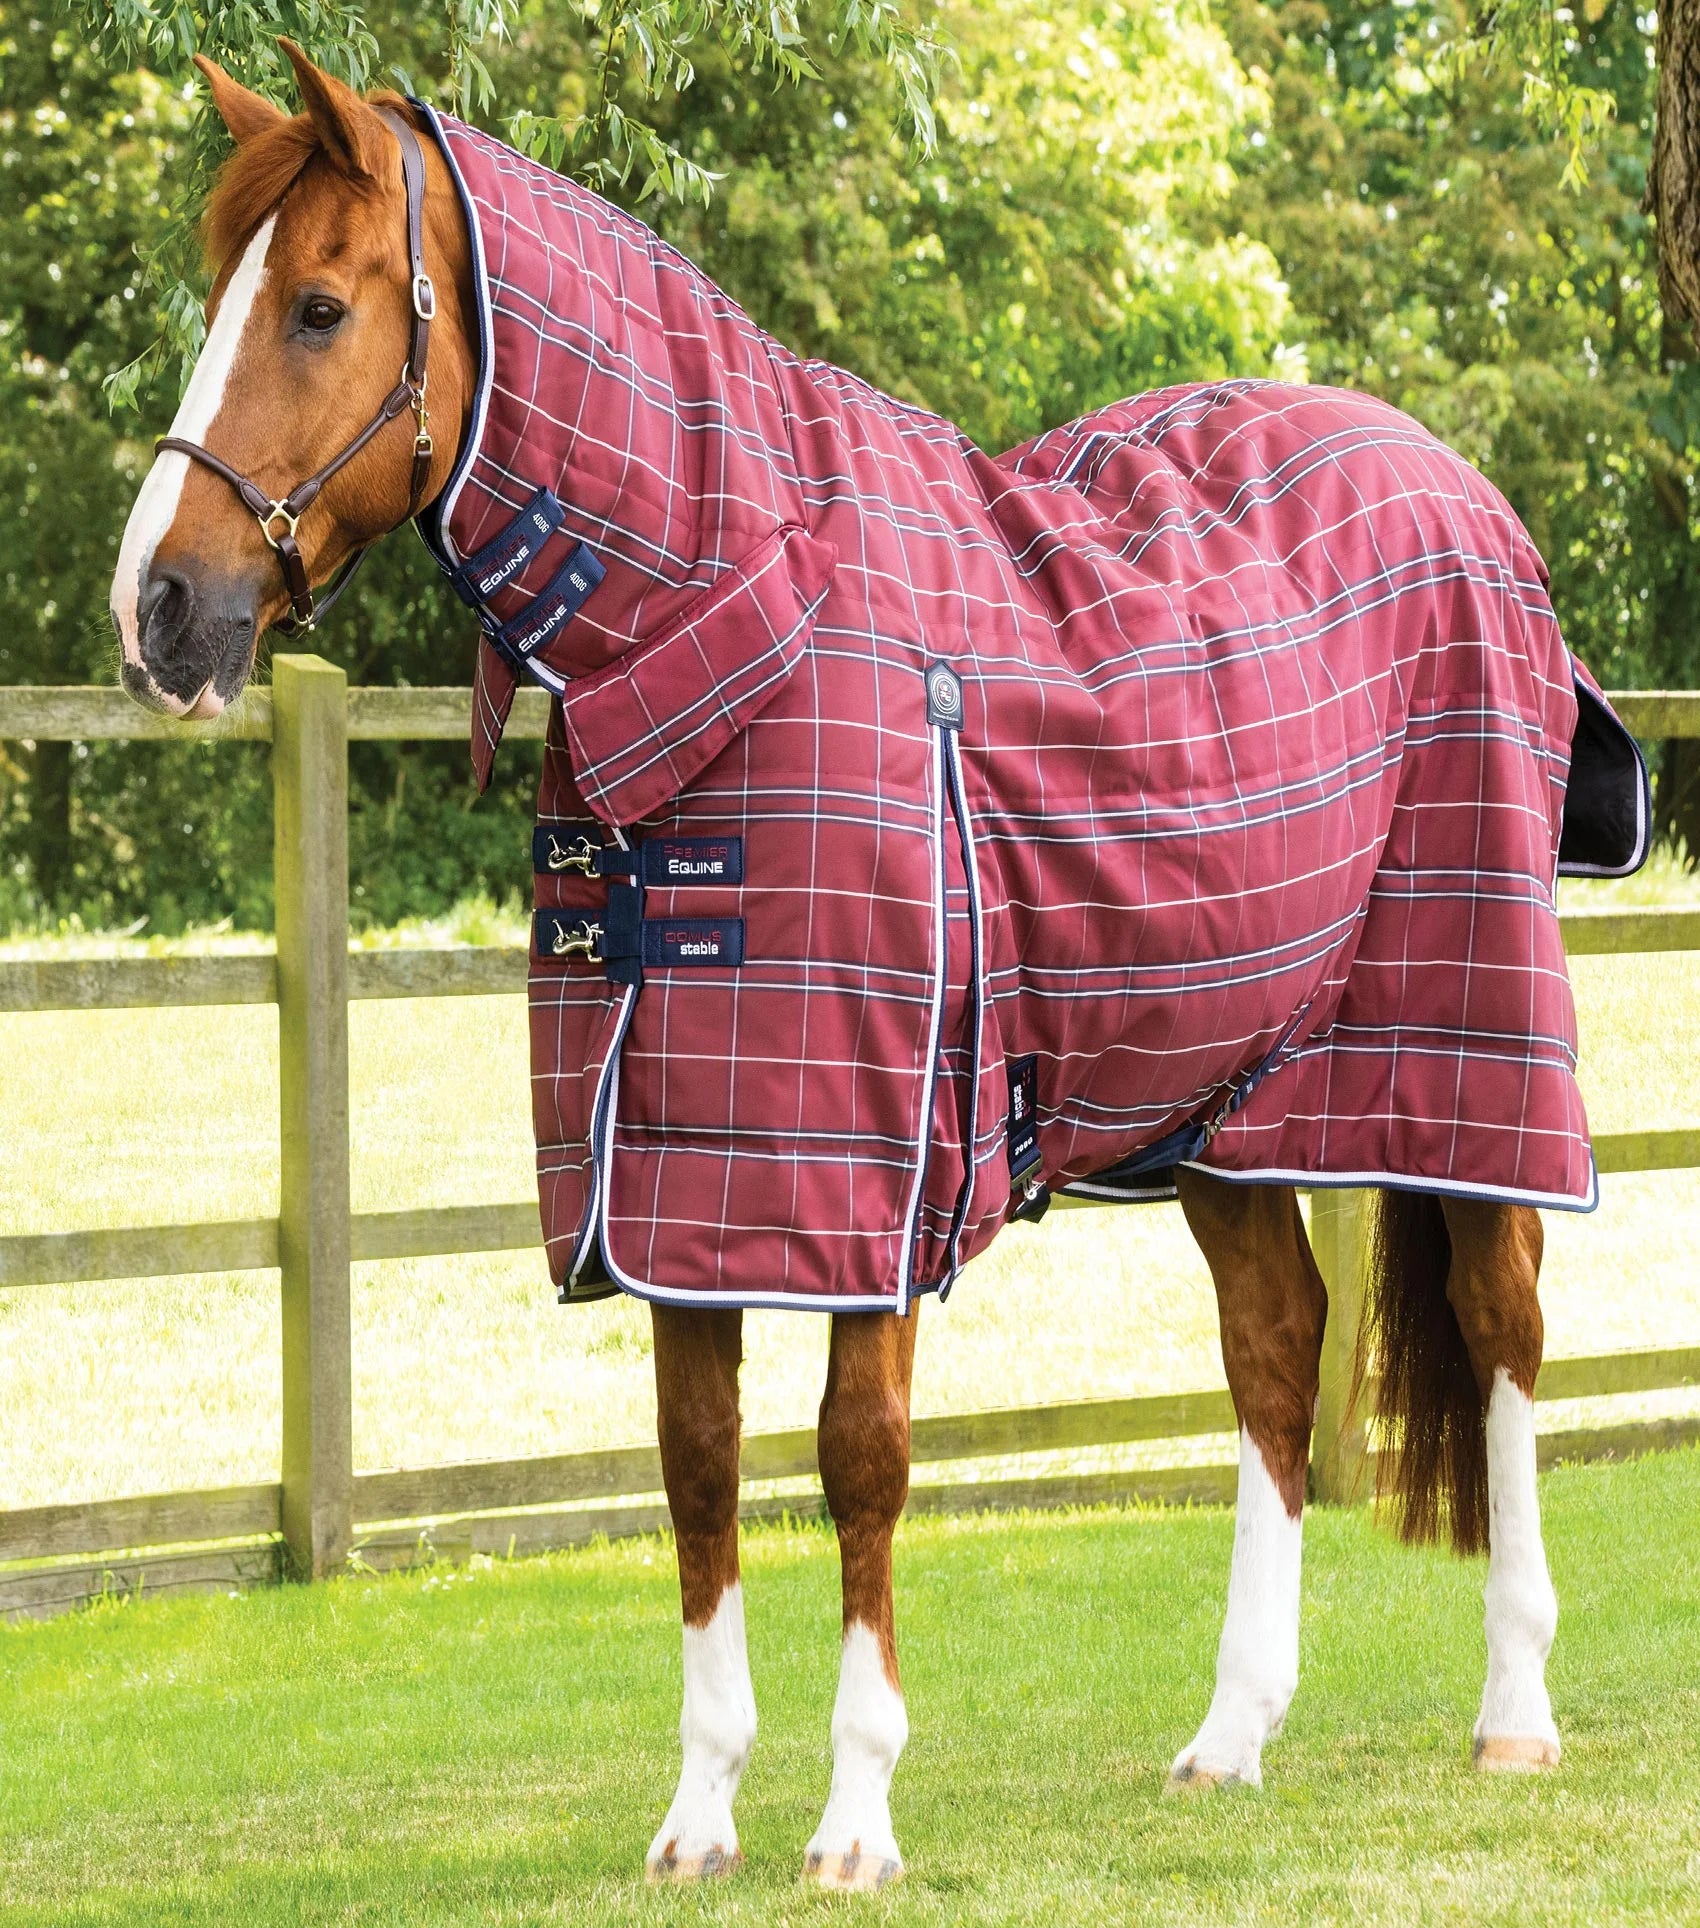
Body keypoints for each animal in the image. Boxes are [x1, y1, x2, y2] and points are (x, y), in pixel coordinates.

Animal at [109, 43, 1629, 1890]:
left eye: (320, 307)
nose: (156, 608)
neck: (740, 637)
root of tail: (1459, 489)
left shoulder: (877, 1172)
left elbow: (859, 1464)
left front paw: (853, 1817)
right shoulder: (673, 1178)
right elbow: (698, 1469)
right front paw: (698, 1816)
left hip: (1469, 1038)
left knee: (1502, 1326)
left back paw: (1515, 1710)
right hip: (1224, 1095)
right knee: (1278, 1346)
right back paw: (1228, 1735)